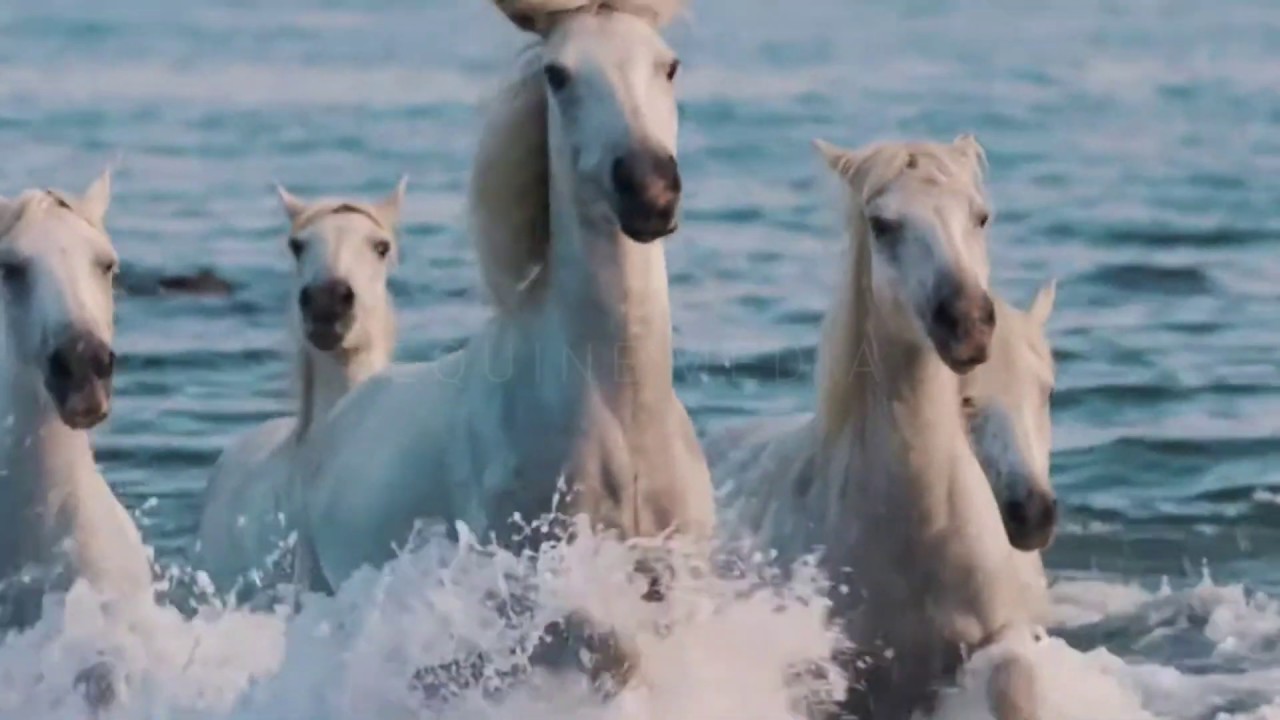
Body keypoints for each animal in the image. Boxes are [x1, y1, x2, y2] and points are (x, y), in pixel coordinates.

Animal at [291, 0, 711, 688]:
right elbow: (612, 651)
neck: (619, 412)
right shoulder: (527, 595)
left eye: (669, 64)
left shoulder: (680, 579)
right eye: (557, 75)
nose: (650, 193)